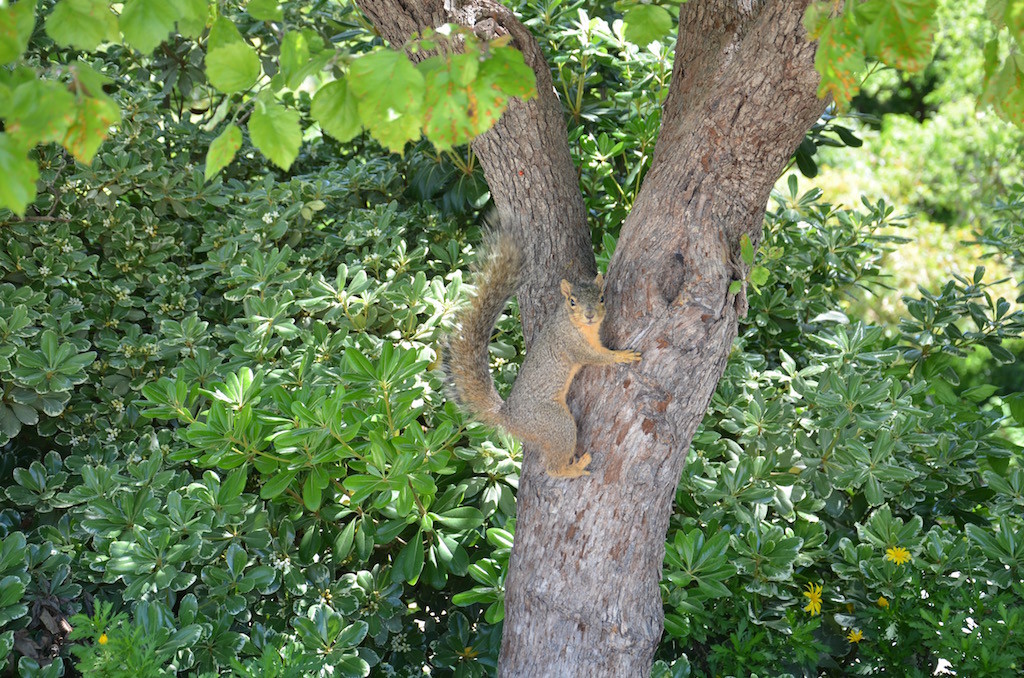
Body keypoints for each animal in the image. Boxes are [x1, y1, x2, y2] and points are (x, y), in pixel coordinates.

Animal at [444, 233, 641, 478]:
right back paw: (575, 468)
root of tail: (509, 417)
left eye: (602, 298)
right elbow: (595, 357)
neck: (576, 325)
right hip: (555, 424)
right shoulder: (571, 344)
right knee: (552, 468)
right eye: (572, 301)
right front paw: (621, 356)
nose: (590, 315)